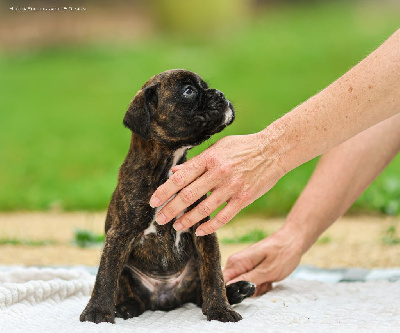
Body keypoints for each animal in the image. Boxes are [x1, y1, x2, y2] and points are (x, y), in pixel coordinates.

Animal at [80, 68, 255, 322]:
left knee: (200, 290)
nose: (221, 94)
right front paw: (97, 312)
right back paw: (126, 306)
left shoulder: (202, 230)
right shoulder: (120, 233)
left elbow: (213, 274)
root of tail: (165, 300)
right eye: (188, 91)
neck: (166, 166)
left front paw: (220, 309)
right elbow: (106, 276)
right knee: (125, 286)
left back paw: (237, 290)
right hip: (129, 273)